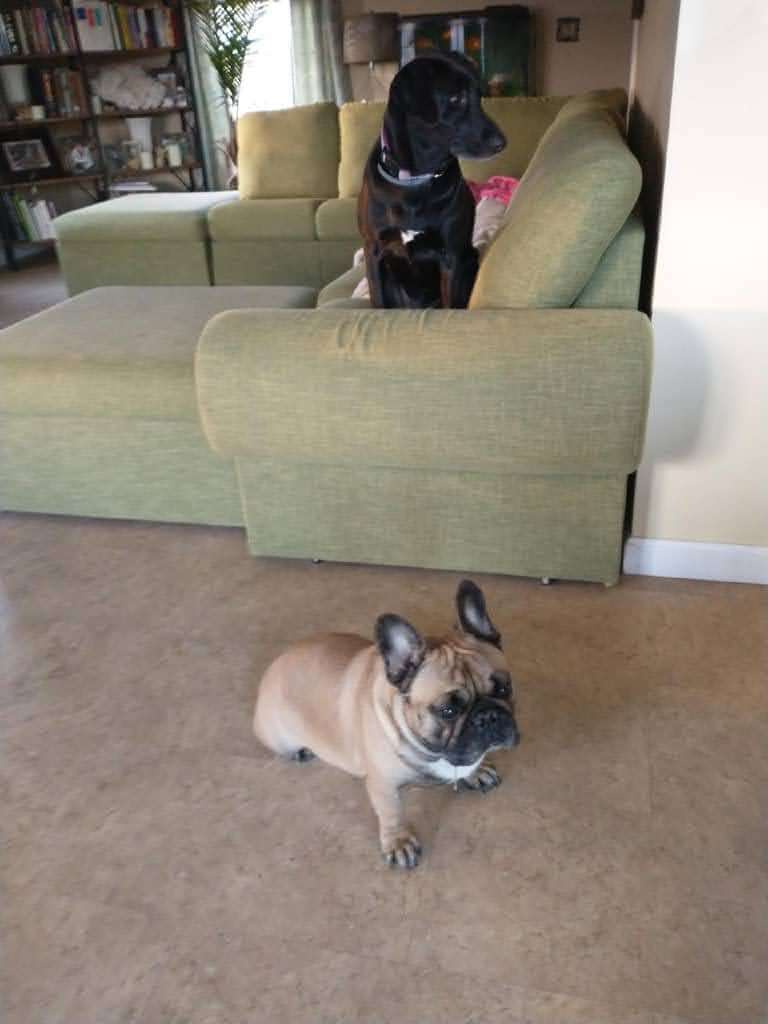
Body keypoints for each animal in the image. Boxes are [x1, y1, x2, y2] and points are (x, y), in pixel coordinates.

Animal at [254, 580, 520, 869]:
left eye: (504, 688)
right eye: (447, 711)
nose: (488, 716)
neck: (431, 750)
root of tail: (277, 663)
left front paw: (477, 771)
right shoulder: (383, 783)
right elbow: (391, 811)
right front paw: (398, 841)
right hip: (279, 737)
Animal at [358, 51, 506, 310]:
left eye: (479, 97)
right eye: (456, 98)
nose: (502, 142)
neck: (416, 180)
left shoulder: (452, 257)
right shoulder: (373, 251)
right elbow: (379, 302)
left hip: (470, 259)